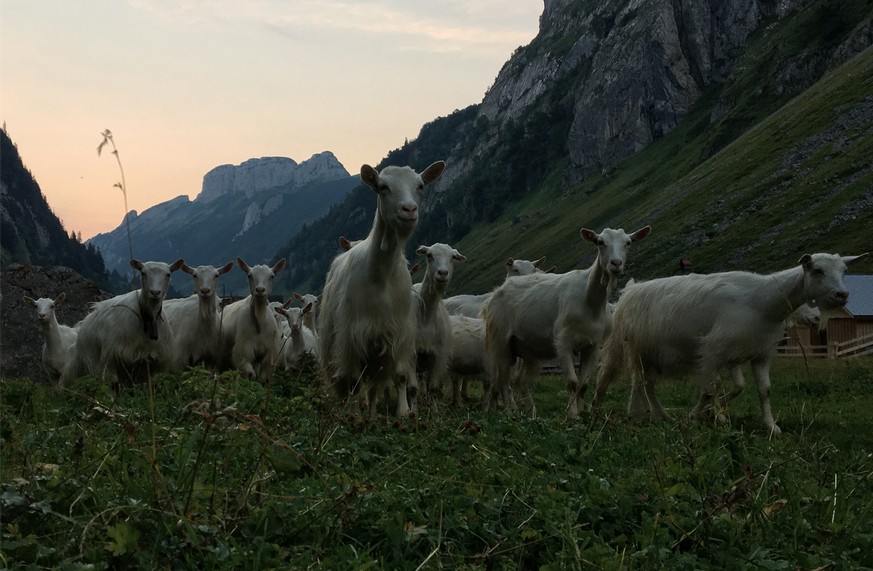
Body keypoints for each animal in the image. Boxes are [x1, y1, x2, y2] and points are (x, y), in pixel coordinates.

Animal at [61, 260, 186, 388]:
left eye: (168, 274)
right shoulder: (111, 356)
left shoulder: (151, 362)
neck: (147, 317)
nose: (155, 292)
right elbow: (112, 384)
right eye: (143, 273)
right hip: (91, 361)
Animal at [316, 161, 446, 416]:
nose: (409, 209)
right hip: (332, 339)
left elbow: (400, 377)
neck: (381, 276)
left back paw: (372, 410)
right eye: (382, 187)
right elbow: (353, 381)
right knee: (344, 381)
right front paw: (354, 415)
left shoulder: (396, 334)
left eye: (420, 186)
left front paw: (402, 412)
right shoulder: (351, 335)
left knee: (374, 385)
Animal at [412, 244, 466, 400]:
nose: (442, 273)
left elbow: (433, 388)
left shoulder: (437, 356)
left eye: (453, 257)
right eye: (429, 255)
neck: (425, 316)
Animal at [480, 226, 652, 418]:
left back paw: (531, 411)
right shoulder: (563, 342)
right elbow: (572, 382)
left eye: (628, 243)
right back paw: (511, 410)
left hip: (528, 349)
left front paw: (583, 412)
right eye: (600, 242)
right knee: (503, 380)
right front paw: (573, 414)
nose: (616, 263)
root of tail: (499, 290)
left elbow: (583, 385)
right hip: (501, 341)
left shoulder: (592, 346)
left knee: (521, 381)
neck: (590, 302)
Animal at [592, 252, 864, 436]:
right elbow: (711, 388)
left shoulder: (756, 354)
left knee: (646, 384)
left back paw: (660, 414)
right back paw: (617, 411)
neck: (762, 302)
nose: (843, 295)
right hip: (629, 348)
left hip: (653, 355)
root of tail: (630, 290)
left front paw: (770, 425)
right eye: (817, 270)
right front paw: (707, 416)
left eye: (844, 270)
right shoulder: (712, 352)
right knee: (622, 380)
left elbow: (761, 390)